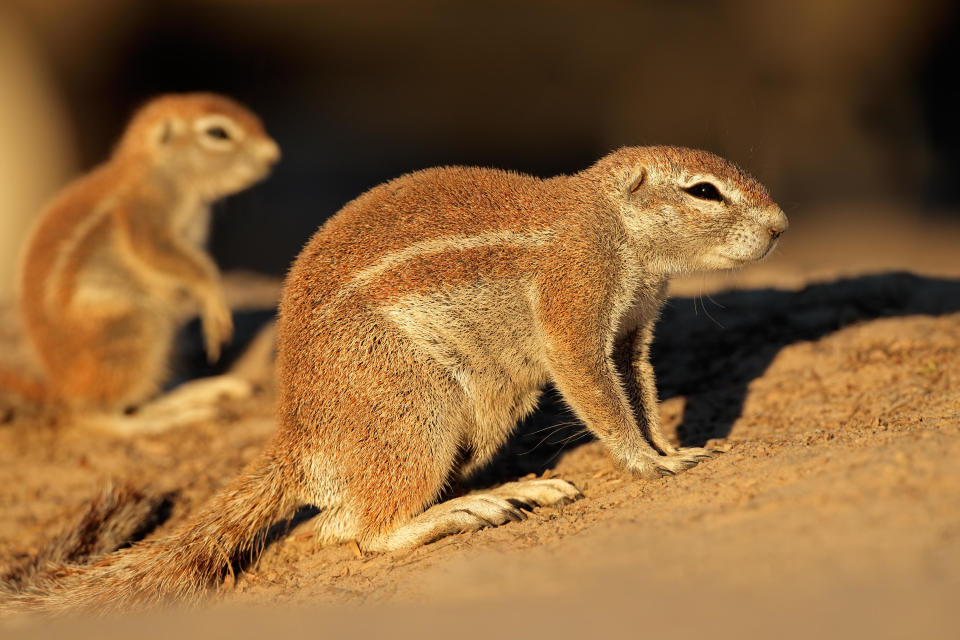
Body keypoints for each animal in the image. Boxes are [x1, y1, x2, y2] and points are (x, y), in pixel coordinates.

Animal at [0, 90, 280, 420]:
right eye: (217, 133)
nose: (273, 154)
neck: (158, 169)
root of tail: (65, 388)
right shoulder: (146, 215)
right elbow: (173, 259)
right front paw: (213, 301)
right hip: (136, 325)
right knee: (103, 413)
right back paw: (174, 414)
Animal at [3, 145, 784, 608]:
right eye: (704, 191)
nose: (779, 226)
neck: (615, 228)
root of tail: (299, 438)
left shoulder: (630, 332)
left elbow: (639, 389)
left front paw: (673, 446)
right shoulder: (576, 303)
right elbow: (598, 393)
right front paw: (652, 463)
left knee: (339, 521)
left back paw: (515, 489)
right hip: (416, 406)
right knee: (361, 533)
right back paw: (471, 508)